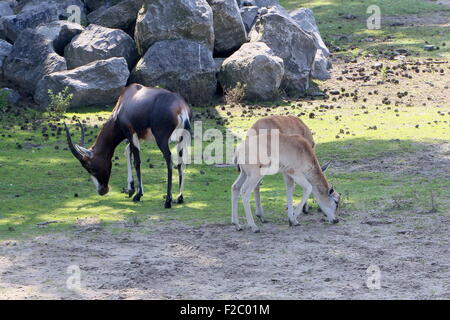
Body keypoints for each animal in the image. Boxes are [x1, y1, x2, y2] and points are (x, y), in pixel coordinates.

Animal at [64, 83, 192, 208]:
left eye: (90, 167)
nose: (102, 191)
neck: (126, 100)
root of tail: (181, 108)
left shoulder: (130, 133)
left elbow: (137, 162)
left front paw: (138, 195)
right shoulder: (138, 137)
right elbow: (127, 152)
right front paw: (131, 190)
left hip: (161, 139)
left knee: (169, 159)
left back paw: (168, 201)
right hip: (181, 138)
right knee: (180, 162)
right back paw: (179, 198)